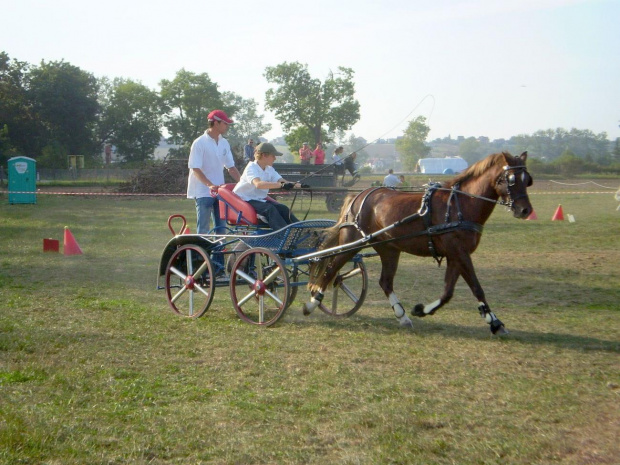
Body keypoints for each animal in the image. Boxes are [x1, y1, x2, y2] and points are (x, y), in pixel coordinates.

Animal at [300, 150, 532, 332]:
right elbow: (476, 287)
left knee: (385, 282)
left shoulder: (455, 255)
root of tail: (358, 196)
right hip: (353, 242)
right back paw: (311, 304)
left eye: (527, 179)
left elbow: (448, 292)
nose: (525, 210)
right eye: (511, 179)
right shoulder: (459, 253)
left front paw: (422, 310)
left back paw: (402, 316)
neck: (460, 205)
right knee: (331, 269)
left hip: (389, 248)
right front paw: (494, 321)